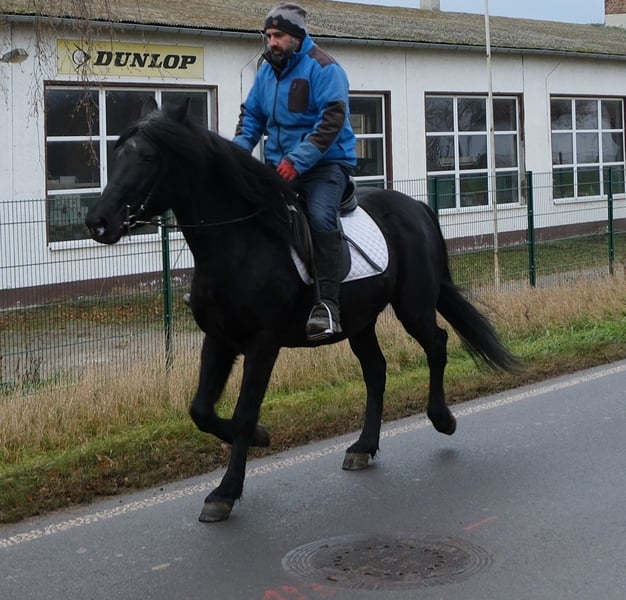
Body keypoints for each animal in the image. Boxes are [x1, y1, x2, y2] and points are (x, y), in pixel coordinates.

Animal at [85, 99, 520, 522]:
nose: (98, 222)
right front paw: (261, 437)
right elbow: (201, 410)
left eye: (147, 157)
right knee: (376, 371)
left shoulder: (263, 345)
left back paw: (442, 418)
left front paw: (226, 492)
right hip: (360, 322)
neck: (238, 244)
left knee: (437, 344)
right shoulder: (220, 339)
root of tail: (415, 206)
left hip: (413, 306)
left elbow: (244, 412)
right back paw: (363, 446)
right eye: (116, 153)